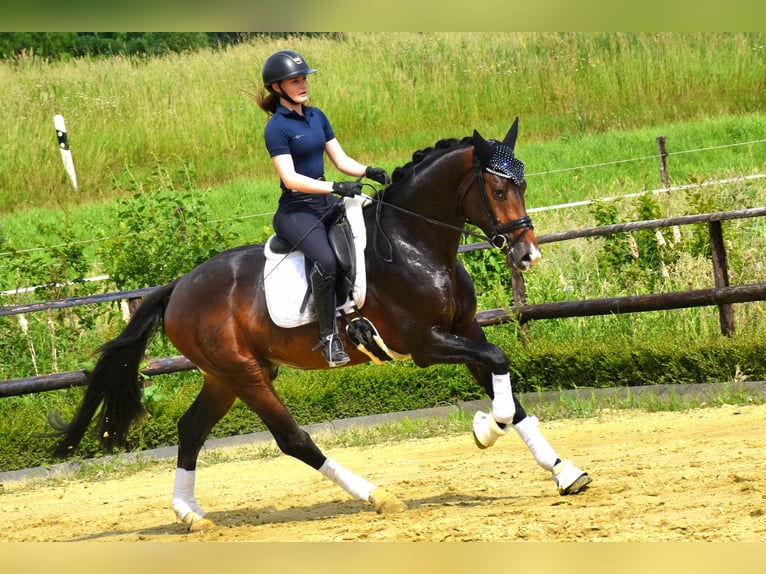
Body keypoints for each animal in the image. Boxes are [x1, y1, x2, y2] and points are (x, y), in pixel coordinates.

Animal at [48, 118, 591, 532]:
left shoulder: (467, 329)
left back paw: (191, 514)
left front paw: (565, 472)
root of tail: (179, 286)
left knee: (191, 429)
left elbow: (509, 391)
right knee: (293, 440)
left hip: (225, 376)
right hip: (245, 373)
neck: (414, 242)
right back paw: (376, 496)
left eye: (523, 185)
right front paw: (484, 428)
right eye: (497, 189)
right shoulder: (425, 344)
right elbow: (500, 371)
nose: (528, 254)